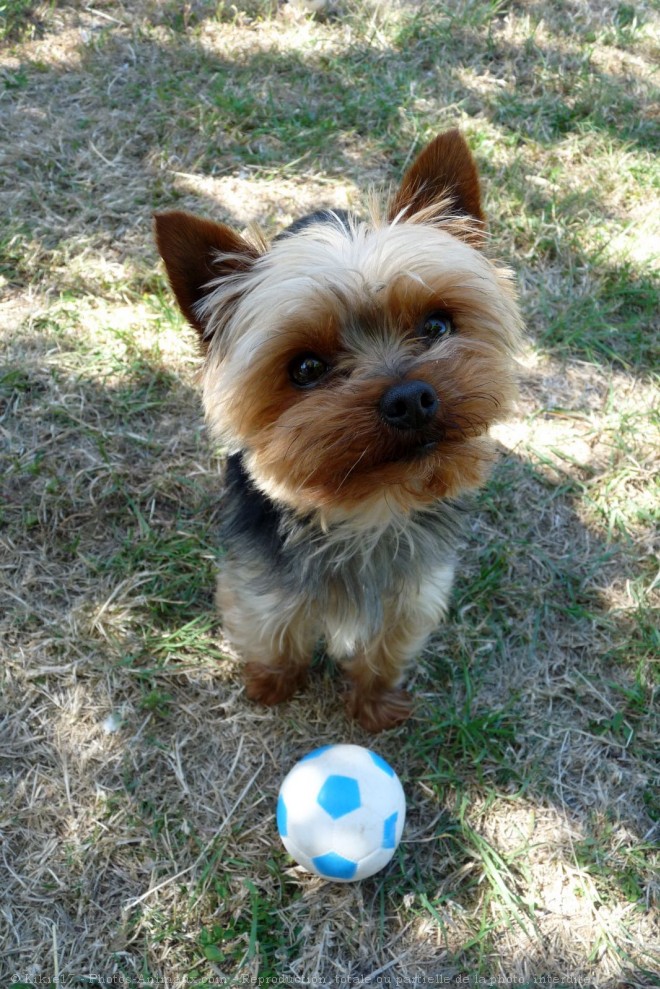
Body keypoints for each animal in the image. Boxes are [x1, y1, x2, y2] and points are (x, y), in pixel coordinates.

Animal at [153, 129, 520, 732]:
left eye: (437, 324)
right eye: (305, 368)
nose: (409, 399)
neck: (369, 509)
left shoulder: (412, 596)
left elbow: (384, 652)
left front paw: (375, 705)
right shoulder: (260, 583)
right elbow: (271, 632)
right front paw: (271, 685)